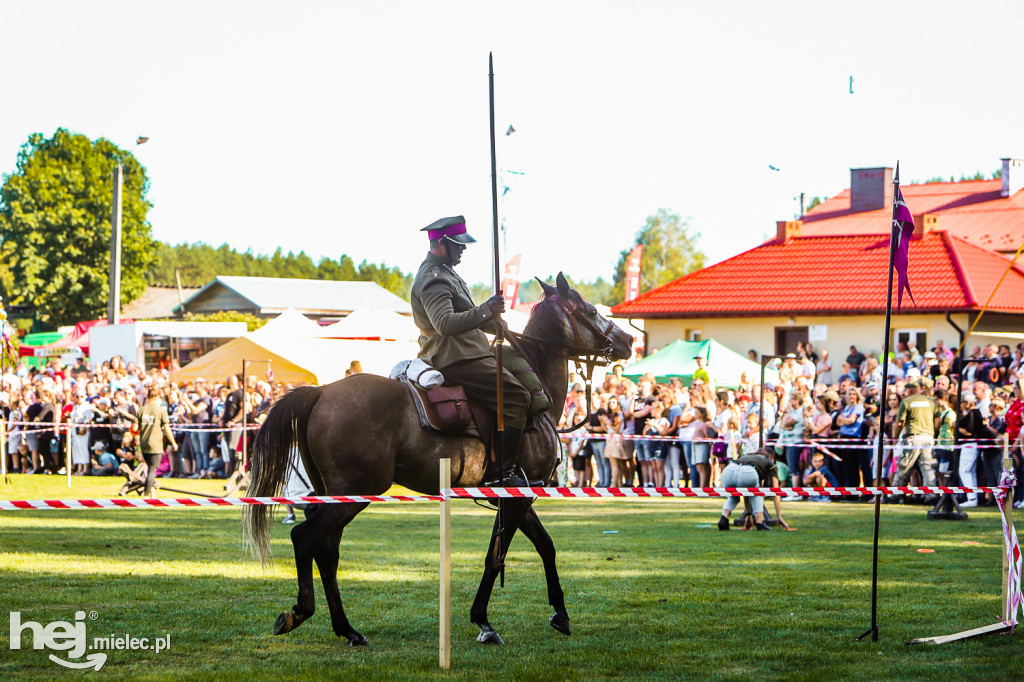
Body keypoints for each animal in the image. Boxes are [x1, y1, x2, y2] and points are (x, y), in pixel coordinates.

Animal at [243, 270, 634, 643]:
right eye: (589, 310)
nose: (628, 341)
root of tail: (322, 393)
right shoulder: (518, 495)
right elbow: (497, 556)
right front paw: (484, 621)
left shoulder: (518, 495)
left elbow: (545, 546)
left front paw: (559, 613)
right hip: (355, 492)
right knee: (306, 539)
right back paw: (301, 613)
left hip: (339, 495)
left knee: (326, 551)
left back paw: (347, 629)